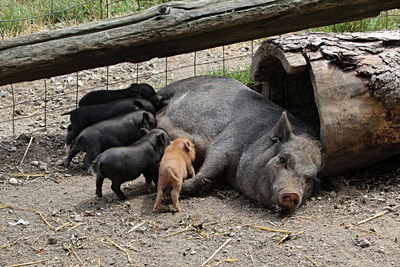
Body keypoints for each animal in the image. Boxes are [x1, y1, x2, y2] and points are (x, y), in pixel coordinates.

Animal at [156, 76, 322, 213]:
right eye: (282, 159)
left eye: (310, 179)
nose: (293, 194)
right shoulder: (225, 143)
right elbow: (210, 168)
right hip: (168, 90)